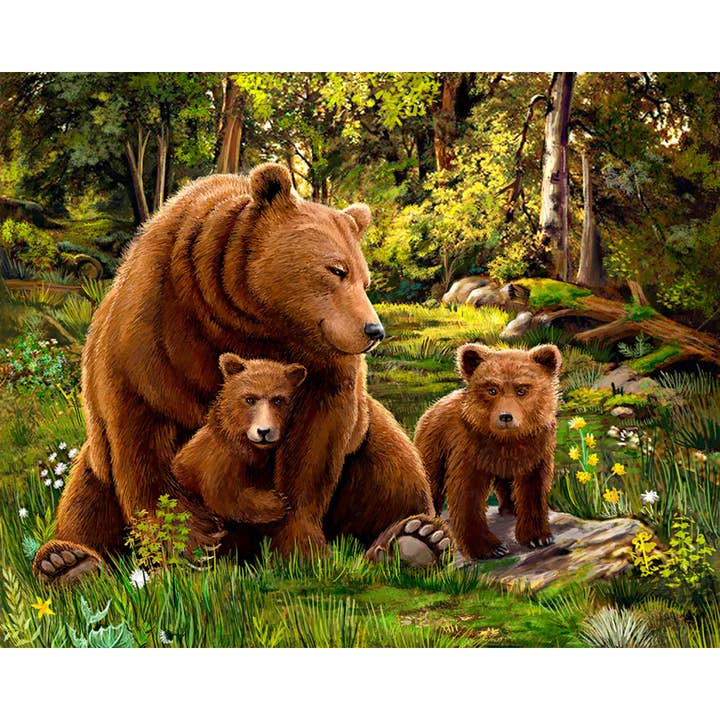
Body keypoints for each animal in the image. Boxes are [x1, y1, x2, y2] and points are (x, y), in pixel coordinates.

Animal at [172, 353, 306, 526]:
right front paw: (277, 502)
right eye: (250, 399)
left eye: (278, 400)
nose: (264, 431)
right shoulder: (218, 462)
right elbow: (226, 497)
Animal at [414, 342, 562, 561]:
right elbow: (467, 494)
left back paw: (509, 508)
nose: (506, 416)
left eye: (521, 390)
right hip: (433, 445)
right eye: (492, 390)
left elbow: (534, 488)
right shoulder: (470, 450)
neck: (507, 440)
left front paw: (538, 537)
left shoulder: (536, 449)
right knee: (430, 478)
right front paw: (491, 548)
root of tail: (432, 406)